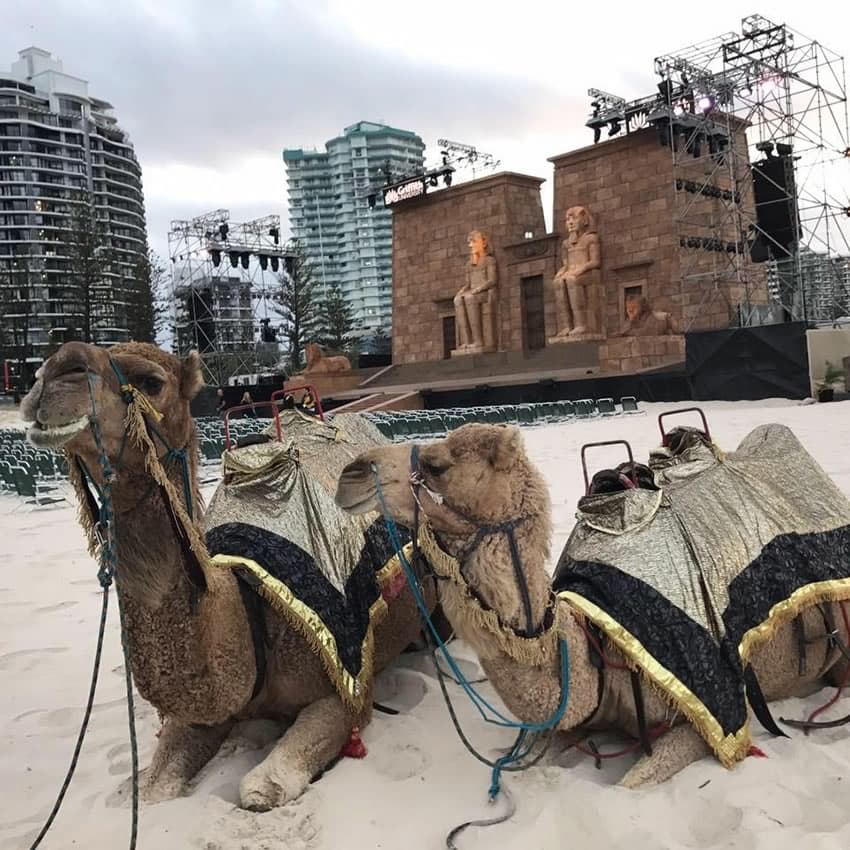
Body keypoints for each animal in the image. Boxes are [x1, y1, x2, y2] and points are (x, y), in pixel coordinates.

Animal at [21, 341, 432, 810]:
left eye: (151, 381)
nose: (55, 372)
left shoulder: (348, 688)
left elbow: (262, 788)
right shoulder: (203, 712)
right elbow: (153, 789)